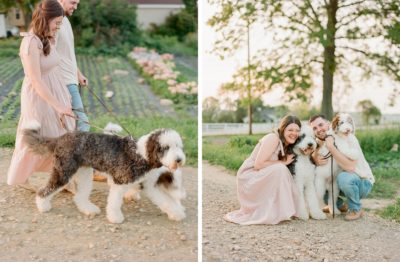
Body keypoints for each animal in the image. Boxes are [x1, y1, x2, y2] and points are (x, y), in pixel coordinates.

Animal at [21, 122, 184, 223]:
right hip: (64, 172)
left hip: (84, 173)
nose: (179, 159)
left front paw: (177, 212)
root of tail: (60, 138)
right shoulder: (120, 181)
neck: (141, 154)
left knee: (79, 196)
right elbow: (114, 202)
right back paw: (42, 206)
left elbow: (165, 200)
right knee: (45, 190)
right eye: (166, 147)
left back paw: (88, 209)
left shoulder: (150, 185)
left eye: (178, 146)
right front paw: (115, 217)